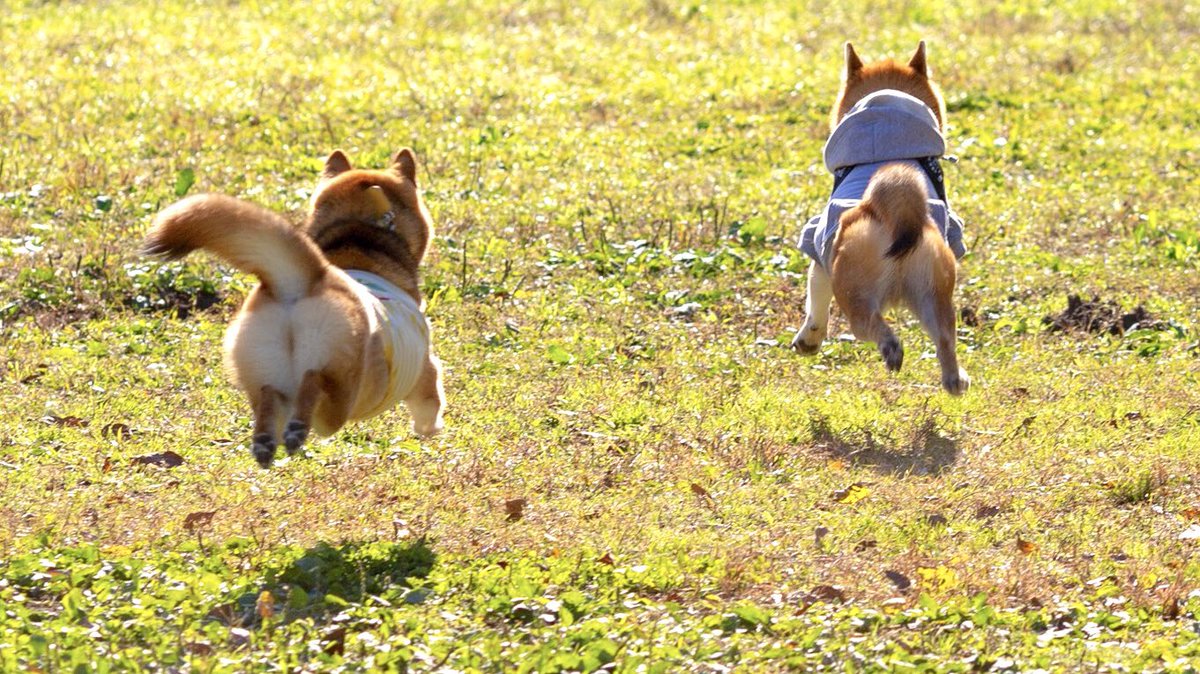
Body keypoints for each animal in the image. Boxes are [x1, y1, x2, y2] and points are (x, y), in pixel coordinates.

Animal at [145, 147, 446, 465]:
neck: (357, 237)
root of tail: (300, 279)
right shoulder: (425, 369)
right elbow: (431, 402)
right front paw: (430, 428)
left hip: (262, 364)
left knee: (271, 398)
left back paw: (266, 442)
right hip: (339, 384)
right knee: (317, 388)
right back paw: (297, 429)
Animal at [792, 41, 969, 393]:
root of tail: (896, 212)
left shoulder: (820, 257)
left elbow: (815, 307)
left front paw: (808, 340)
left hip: (855, 293)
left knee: (871, 325)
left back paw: (891, 349)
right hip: (934, 292)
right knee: (945, 340)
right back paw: (955, 380)